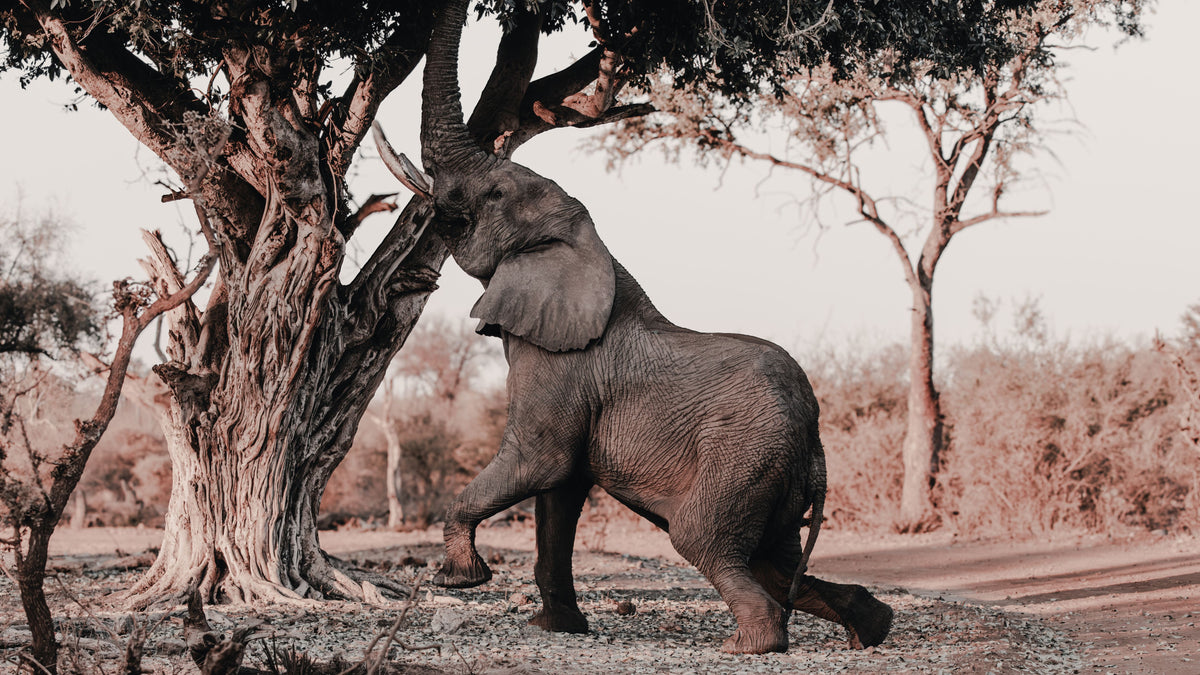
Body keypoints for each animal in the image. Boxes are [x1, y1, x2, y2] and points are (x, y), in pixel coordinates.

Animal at [374, 0, 894, 655]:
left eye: (492, 193)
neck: (584, 241)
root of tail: (814, 430)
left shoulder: (560, 367)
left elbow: (540, 463)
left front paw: (459, 579)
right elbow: (558, 495)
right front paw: (555, 628)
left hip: (743, 456)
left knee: (705, 541)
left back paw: (748, 645)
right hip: (776, 471)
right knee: (777, 562)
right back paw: (871, 628)